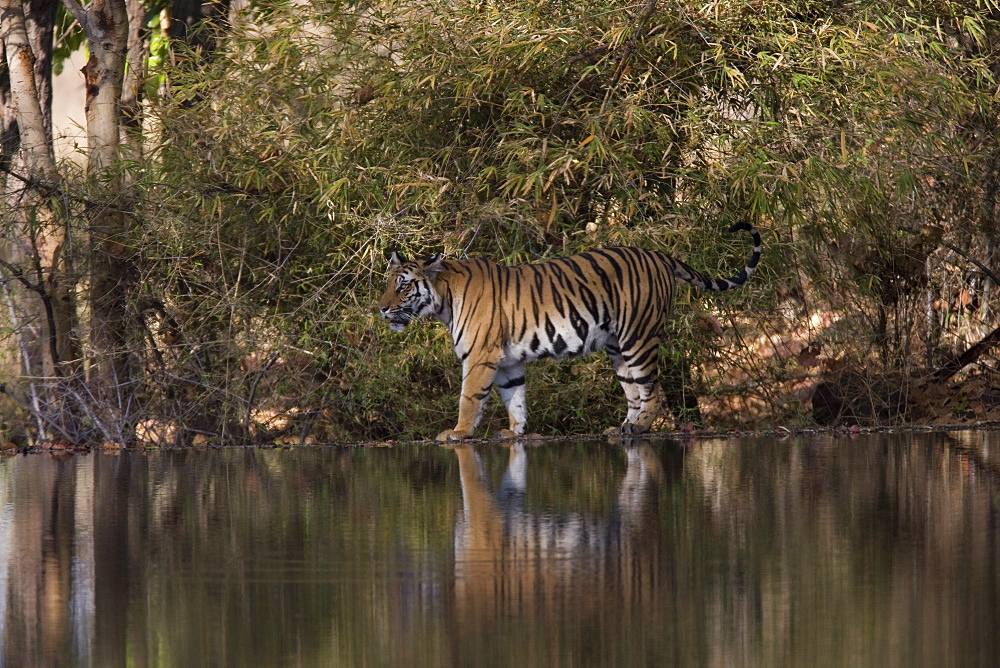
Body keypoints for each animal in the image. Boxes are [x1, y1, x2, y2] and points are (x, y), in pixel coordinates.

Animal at [378, 223, 760, 444]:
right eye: (387, 284)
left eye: (402, 286)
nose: (380, 308)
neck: (443, 299)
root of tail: (657, 254)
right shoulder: (507, 361)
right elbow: (514, 397)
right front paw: (514, 431)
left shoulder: (480, 356)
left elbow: (470, 398)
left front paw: (458, 432)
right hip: (617, 347)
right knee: (633, 391)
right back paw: (621, 428)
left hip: (638, 336)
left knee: (652, 390)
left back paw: (639, 428)